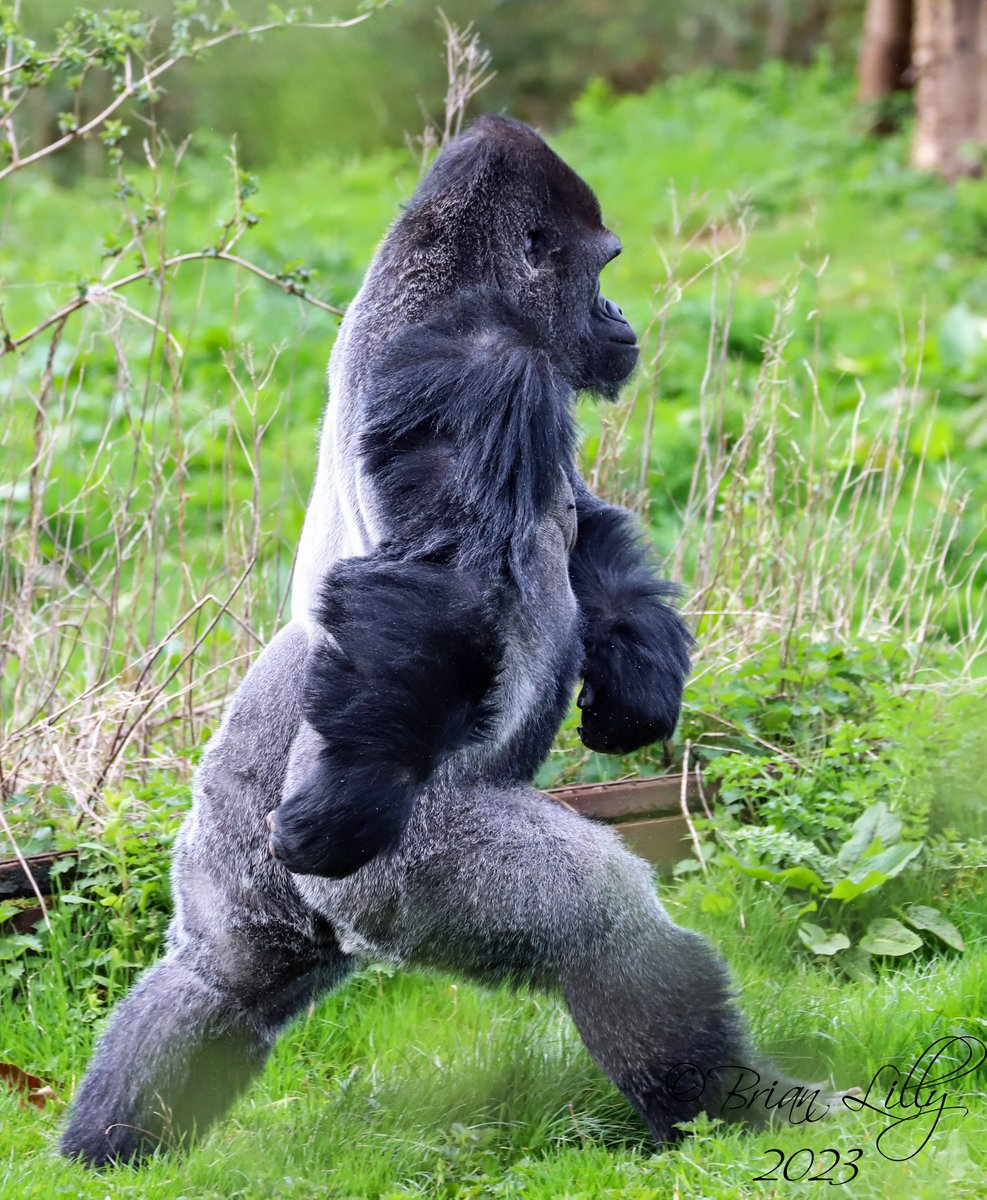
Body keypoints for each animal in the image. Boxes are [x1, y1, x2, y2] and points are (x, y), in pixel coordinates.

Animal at [61, 116, 850, 1169]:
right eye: (604, 266)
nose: (620, 317)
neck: (450, 285)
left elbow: (587, 536)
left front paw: (638, 680)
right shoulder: (477, 373)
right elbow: (443, 581)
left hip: (239, 818)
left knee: (219, 978)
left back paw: (107, 1144)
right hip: (398, 865)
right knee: (608, 933)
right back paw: (729, 1104)